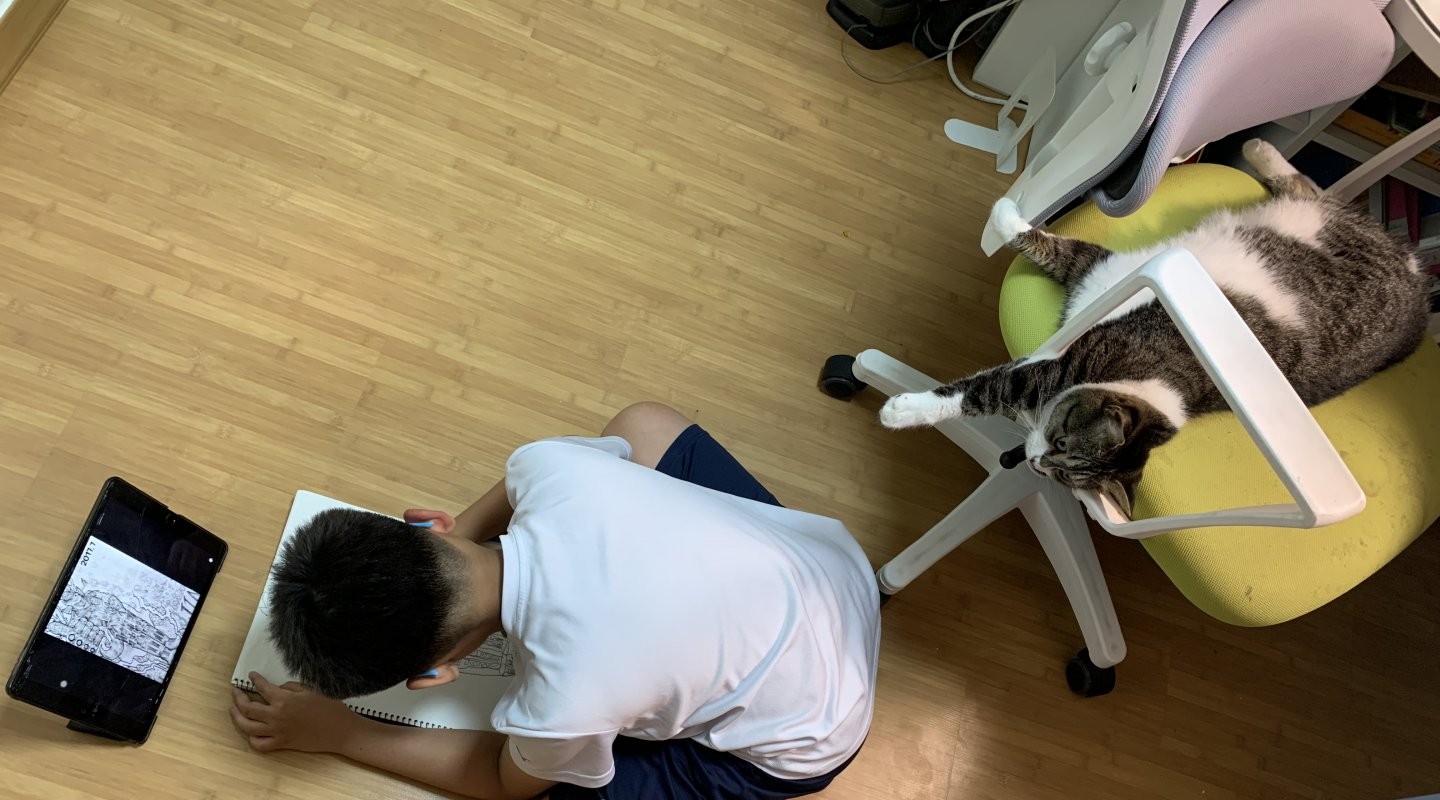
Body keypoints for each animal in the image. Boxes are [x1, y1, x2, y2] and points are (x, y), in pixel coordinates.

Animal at [879, 140, 1429, 518]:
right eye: (1059, 445)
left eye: (1060, 464)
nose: (1033, 462)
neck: (1151, 382)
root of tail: (1422, 290)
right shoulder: (1104, 274)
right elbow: (1045, 244)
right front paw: (1007, 212)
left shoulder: (1061, 354)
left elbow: (986, 387)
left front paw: (904, 409)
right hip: (1322, 225)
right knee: (1311, 190)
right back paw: (1260, 151)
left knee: (1313, 193)